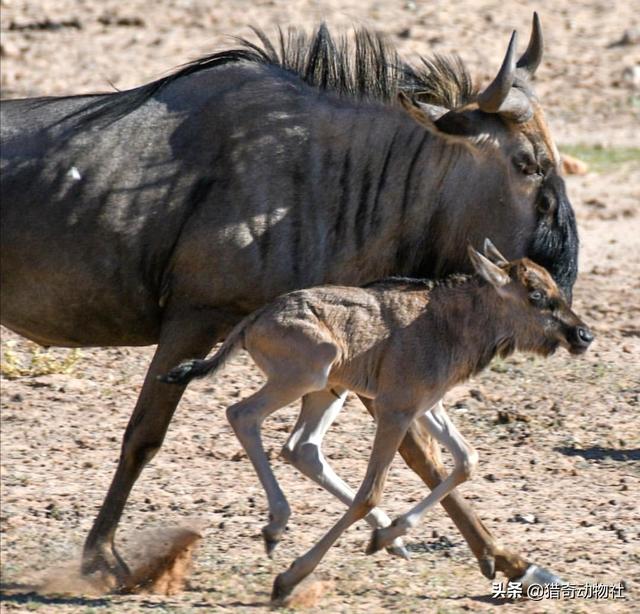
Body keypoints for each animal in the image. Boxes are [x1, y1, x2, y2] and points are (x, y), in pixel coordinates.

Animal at [162, 241, 592, 600]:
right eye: (537, 295)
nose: (583, 335)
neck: (447, 324)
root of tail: (254, 320)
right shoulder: (394, 411)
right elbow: (371, 491)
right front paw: (290, 578)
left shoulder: (427, 407)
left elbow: (467, 461)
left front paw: (387, 534)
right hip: (307, 375)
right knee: (242, 414)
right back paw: (278, 525)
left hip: (328, 391)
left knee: (301, 448)